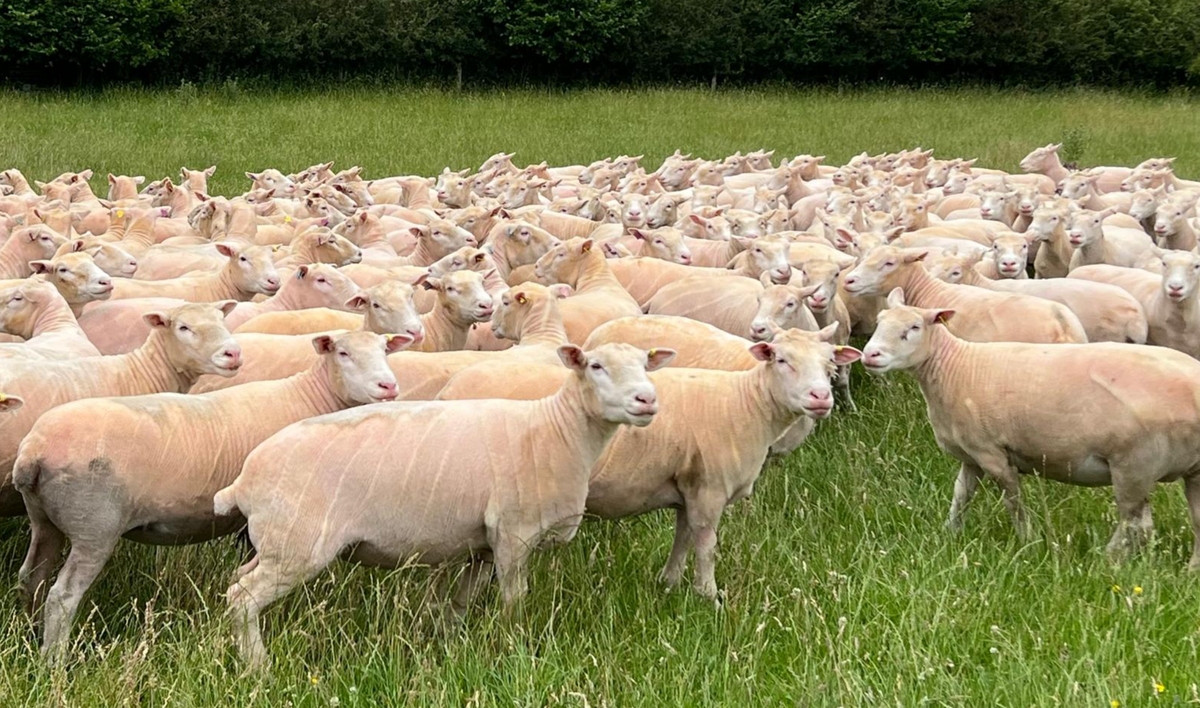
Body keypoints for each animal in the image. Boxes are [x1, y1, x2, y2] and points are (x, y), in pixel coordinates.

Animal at [214, 343, 672, 667]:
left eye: (645, 364)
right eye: (595, 366)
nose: (647, 400)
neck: (555, 430)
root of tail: (243, 481)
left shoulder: (483, 543)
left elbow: (461, 601)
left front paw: (450, 640)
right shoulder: (514, 533)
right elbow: (514, 599)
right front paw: (511, 647)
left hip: (276, 544)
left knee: (236, 581)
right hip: (298, 545)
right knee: (242, 597)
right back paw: (258, 667)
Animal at [860, 290, 1200, 565]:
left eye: (914, 328)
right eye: (879, 322)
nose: (870, 354)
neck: (955, 367)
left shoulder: (993, 454)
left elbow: (1013, 502)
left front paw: (1028, 542)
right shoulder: (972, 456)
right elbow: (961, 496)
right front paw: (950, 533)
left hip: (1133, 464)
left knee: (1134, 524)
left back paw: (1106, 561)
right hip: (1185, 470)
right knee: (1185, 523)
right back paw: (1184, 571)